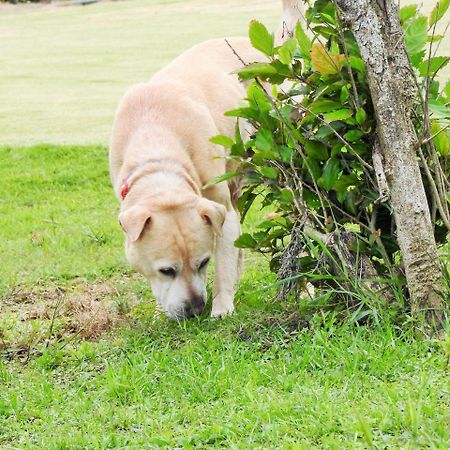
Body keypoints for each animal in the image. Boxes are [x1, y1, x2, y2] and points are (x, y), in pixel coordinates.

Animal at [110, 0, 306, 318]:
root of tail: (273, 54)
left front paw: (222, 306)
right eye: (166, 271)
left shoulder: (219, 211)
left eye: (203, 263)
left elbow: (224, 258)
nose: (194, 309)